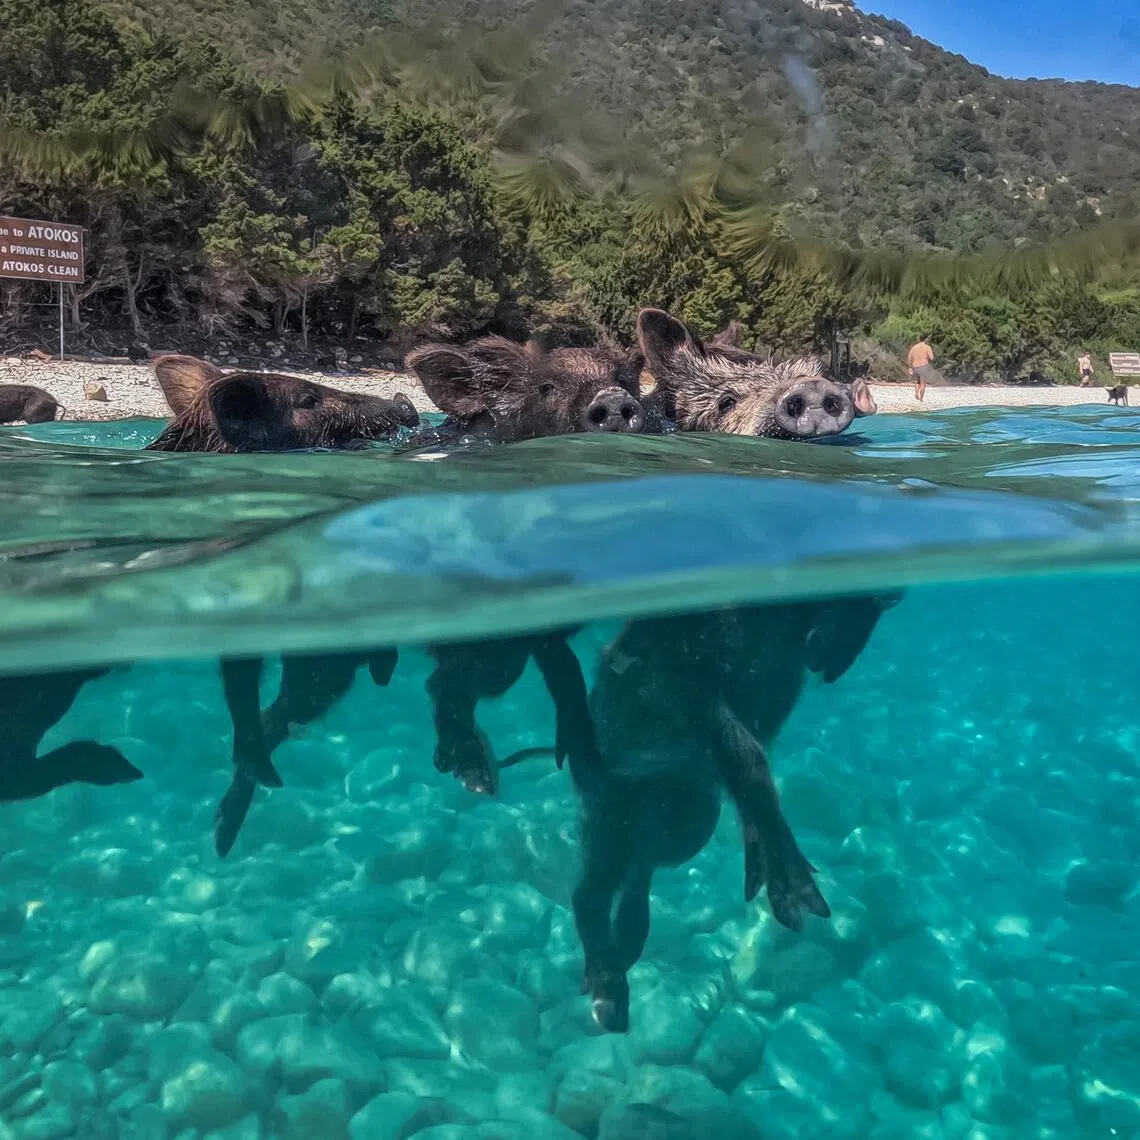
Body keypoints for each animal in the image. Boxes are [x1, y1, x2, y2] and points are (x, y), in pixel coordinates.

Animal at [566, 591, 899, 1032]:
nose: (830, 669)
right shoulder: (685, 681)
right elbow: (747, 757)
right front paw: (790, 886)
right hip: (623, 806)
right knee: (591, 889)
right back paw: (610, 990)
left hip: (689, 815)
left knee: (645, 862)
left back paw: (629, 941)